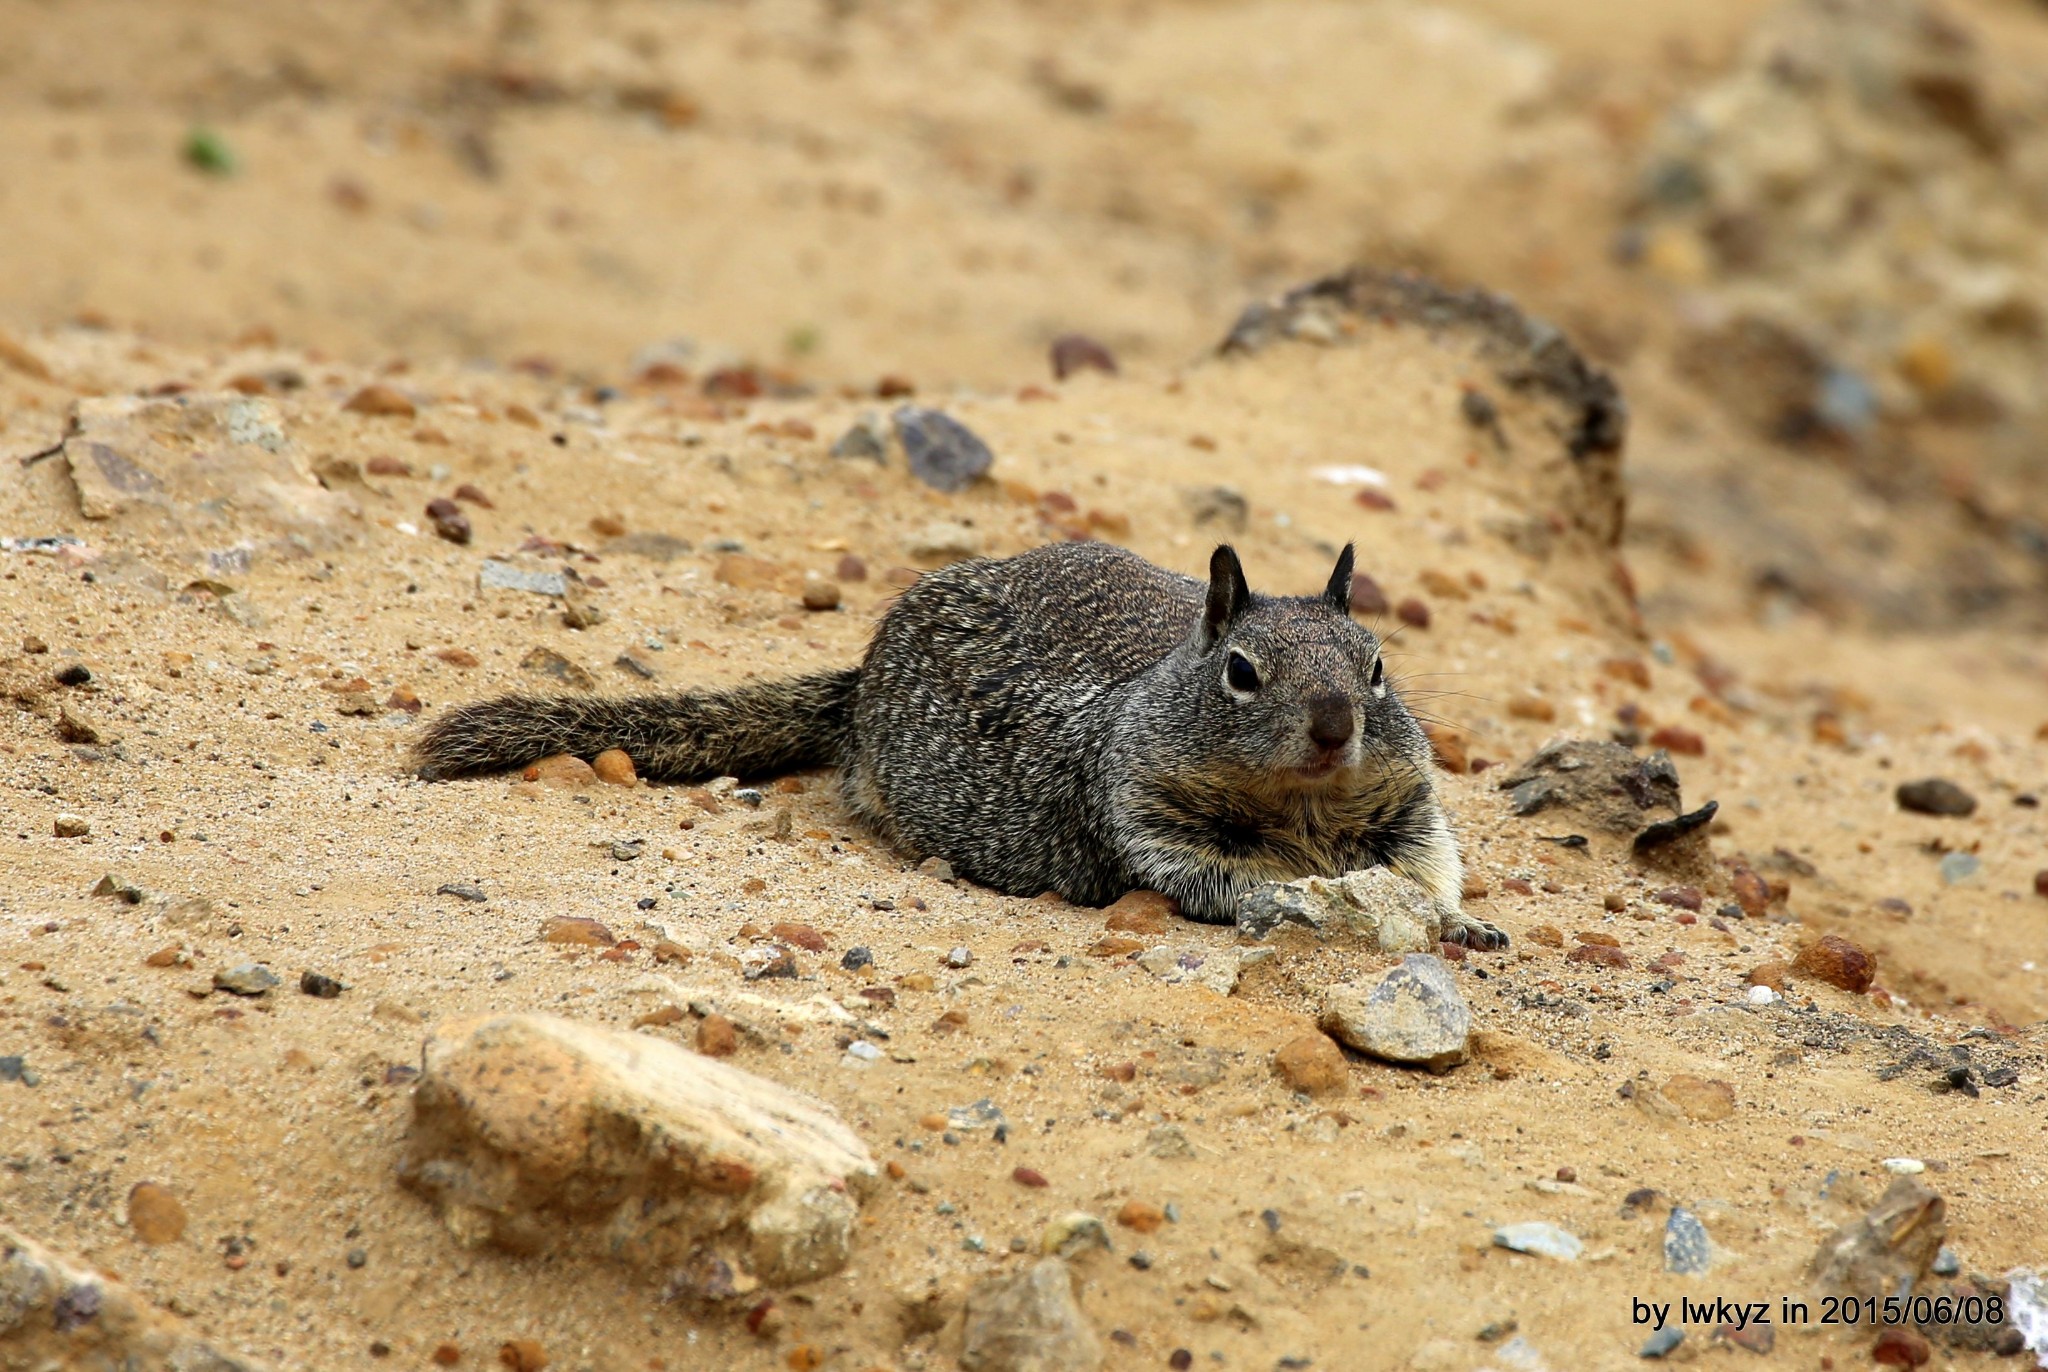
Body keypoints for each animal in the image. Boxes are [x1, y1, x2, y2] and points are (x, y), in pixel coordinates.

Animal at [415, 544, 1507, 950]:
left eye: (1376, 666)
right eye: (1240, 671)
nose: (1333, 726)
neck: (1301, 808)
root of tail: (862, 675)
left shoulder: (1408, 812)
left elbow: (1433, 869)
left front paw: (1464, 924)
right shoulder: (1144, 819)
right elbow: (1228, 883)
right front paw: (1299, 902)